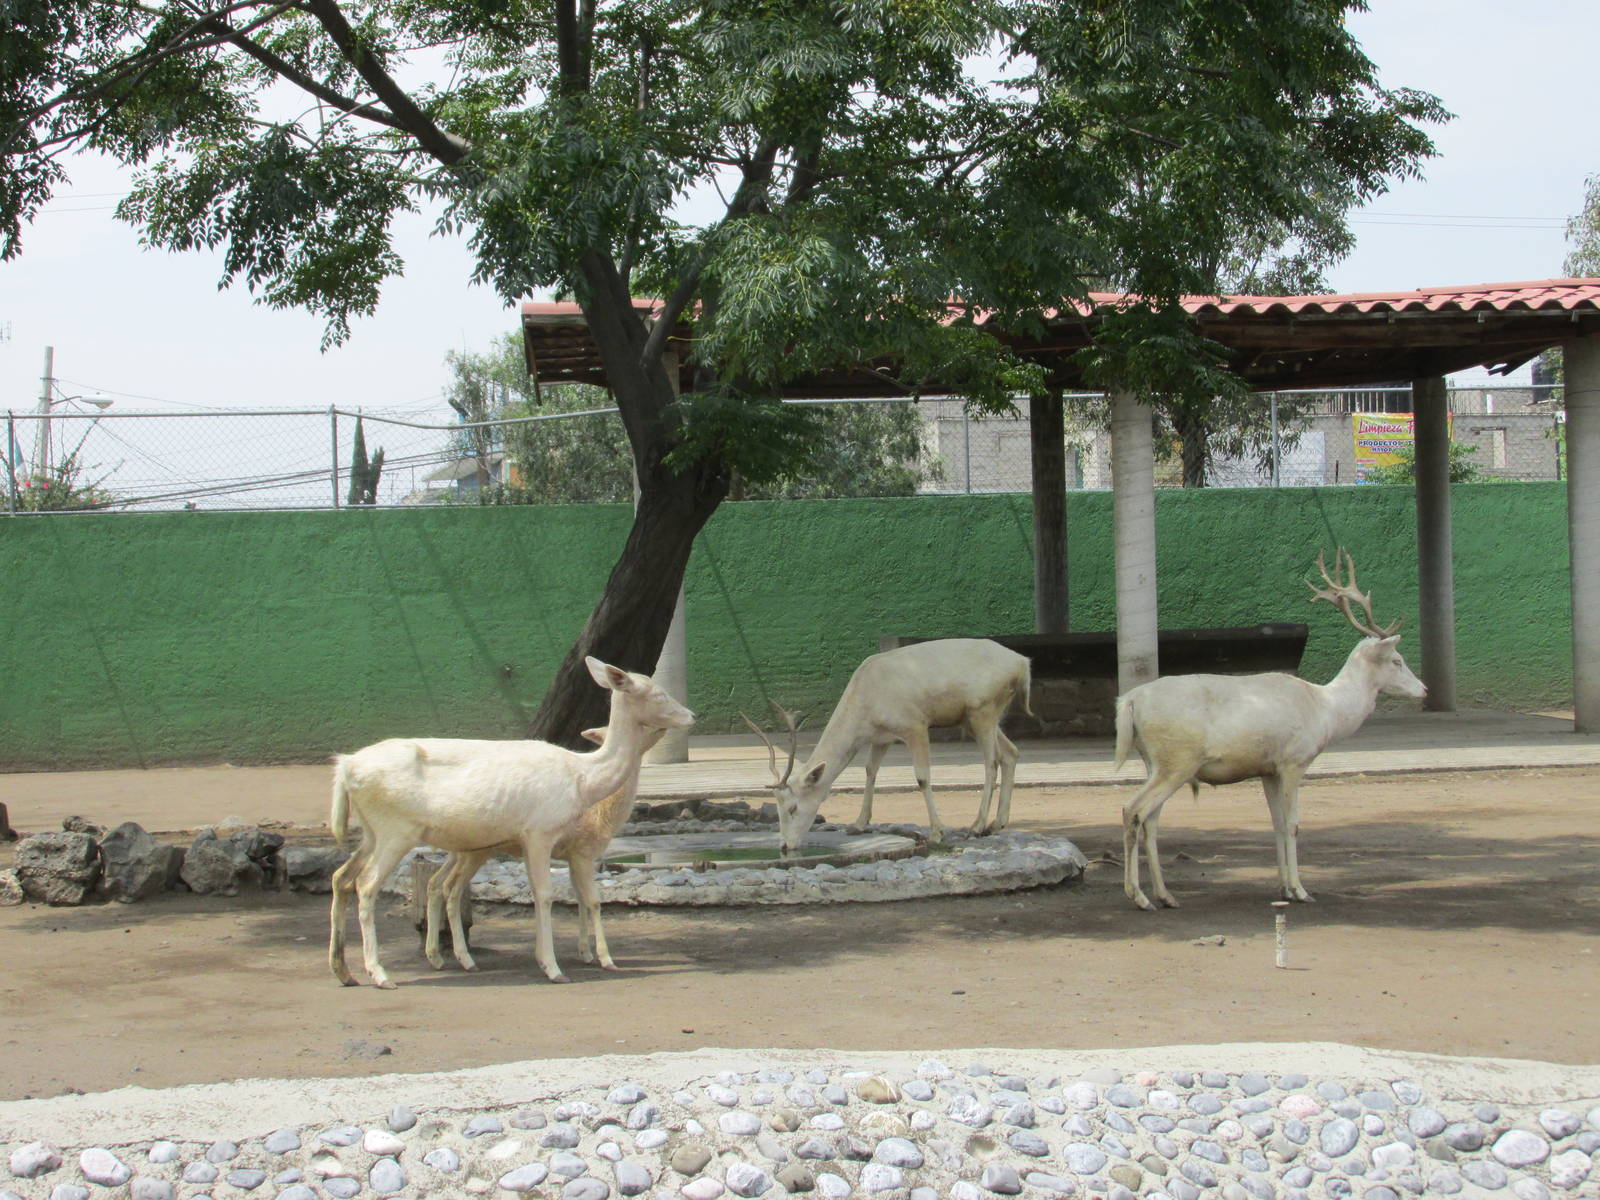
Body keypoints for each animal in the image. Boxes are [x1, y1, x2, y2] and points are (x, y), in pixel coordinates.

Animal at [420, 724, 663, 975]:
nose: (661, 729)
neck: (605, 815)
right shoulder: (584, 852)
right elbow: (593, 900)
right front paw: (605, 958)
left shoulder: (571, 855)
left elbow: (579, 898)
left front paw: (585, 953)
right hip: (474, 852)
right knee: (451, 888)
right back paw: (463, 959)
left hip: (458, 851)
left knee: (435, 883)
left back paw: (435, 956)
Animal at [744, 638, 1033, 854]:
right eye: (777, 807)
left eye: (792, 808)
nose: (784, 846)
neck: (868, 701)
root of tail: (1022, 663)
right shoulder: (880, 738)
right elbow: (870, 771)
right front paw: (858, 824)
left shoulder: (915, 725)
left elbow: (922, 777)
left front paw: (937, 833)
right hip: (976, 718)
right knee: (1010, 753)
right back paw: (997, 824)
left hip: (983, 710)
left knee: (991, 762)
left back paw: (977, 825)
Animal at [1113, 548, 1426, 911]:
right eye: (1397, 661)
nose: (1424, 689)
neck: (1325, 710)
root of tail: (1130, 700)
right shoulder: (1294, 760)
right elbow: (1293, 824)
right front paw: (1302, 890)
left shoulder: (1268, 769)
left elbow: (1276, 823)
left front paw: (1283, 888)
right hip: (1177, 760)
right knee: (1133, 810)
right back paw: (1139, 897)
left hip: (1154, 762)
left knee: (1151, 819)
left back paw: (1166, 896)